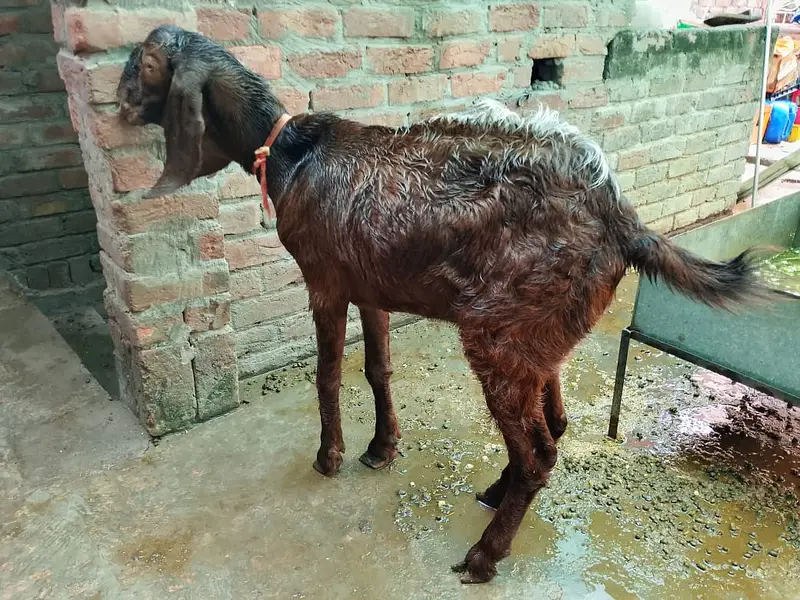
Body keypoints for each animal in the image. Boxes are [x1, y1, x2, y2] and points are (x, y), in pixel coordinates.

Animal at [118, 25, 770, 583]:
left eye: (146, 64)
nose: (119, 105)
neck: (289, 153)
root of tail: (625, 225)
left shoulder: (324, 280)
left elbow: (328, 374)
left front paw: (329, 457)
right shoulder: (369, 284)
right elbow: (377, 367)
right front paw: (381, 449)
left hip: (499, 332)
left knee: (539, 452)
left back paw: (485, 554)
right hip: (540, 332)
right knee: (554, 423)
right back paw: (495, 492)